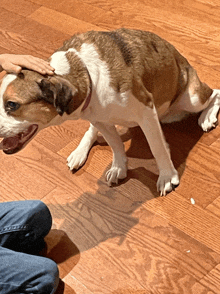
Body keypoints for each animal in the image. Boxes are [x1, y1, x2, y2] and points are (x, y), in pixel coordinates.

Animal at [0, 28, 220, 195]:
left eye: (12, 105)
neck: (84, 73)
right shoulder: (100, 120)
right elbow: (115, 144)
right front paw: (119, 167)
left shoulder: (146, 111)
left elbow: (156, 147)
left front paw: (166, 175)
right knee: (91, 130)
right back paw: (79, 152)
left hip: (191, 98)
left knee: (214, 93)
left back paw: (207, 116)